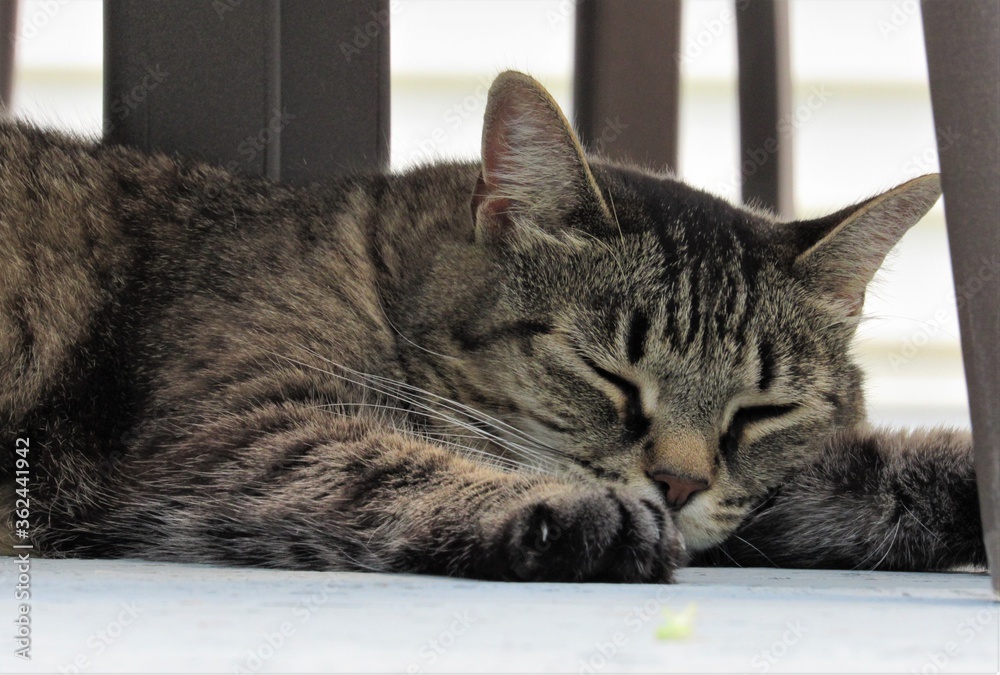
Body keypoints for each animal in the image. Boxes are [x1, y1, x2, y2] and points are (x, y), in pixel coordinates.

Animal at [0, 71, 984, 584]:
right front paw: (577, 510)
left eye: (764, 411)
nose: (676, 485)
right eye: (607, 374)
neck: (378, 269)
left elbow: (877, 473)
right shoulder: (235, 423)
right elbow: (386, 460)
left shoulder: (770, 501)